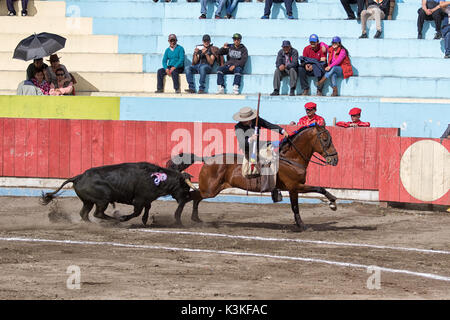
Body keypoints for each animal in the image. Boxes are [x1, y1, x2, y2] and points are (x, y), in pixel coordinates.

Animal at [41, 162, 196, 225]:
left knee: (84, 213)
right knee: (98, 213)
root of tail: (78, 177)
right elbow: (137, 212)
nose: (187, 199)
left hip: (88, 201)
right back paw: (115, 220)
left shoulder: (146, 199)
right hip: (103, 199)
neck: (156, 178)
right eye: (185, 187)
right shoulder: (139, 200)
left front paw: (145, 220)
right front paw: (124, 218)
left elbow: (147, 208)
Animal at [167, 124, 340, 230]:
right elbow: (318, 189)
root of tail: (208, 158)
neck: (290, 158)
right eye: (325, 139)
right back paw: (177, 219)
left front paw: (301, 224)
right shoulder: (296, 187)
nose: (335, 159)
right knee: (190, 196)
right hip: (210, 189)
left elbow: (296, 206)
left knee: (196, 197)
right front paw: (332, 202)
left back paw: (195, 218)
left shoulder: (293, 189)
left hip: (211, 189)